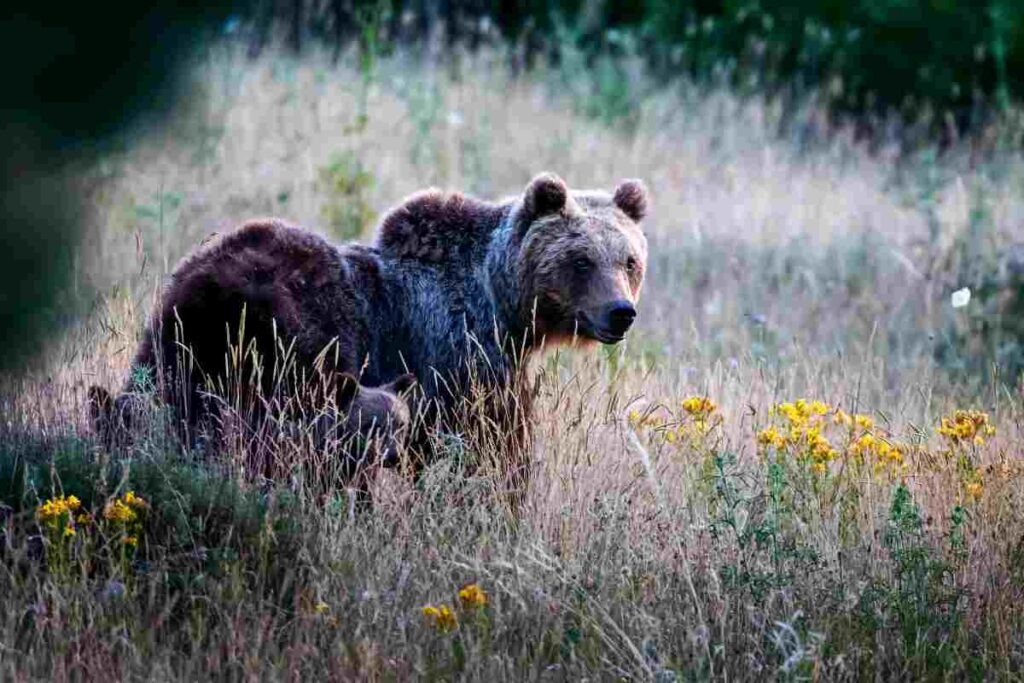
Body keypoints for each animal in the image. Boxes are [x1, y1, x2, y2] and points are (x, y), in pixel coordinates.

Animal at [111, 172, 649, 493]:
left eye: (629, 260)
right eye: (581, 259)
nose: (620, 312)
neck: (502, 303)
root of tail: (210, 282)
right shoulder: (460, 352)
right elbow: (486, 446)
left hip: (179, 336)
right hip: (294, 342)